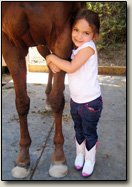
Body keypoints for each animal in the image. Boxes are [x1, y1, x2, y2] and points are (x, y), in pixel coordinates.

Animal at [2, 1, 86, 178]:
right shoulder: (9, 41)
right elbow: (21, 101)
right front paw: (23, 158)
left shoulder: (63, 34)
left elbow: (57, 98)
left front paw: (59, 157)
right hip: (41, 44)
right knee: (49, 63)